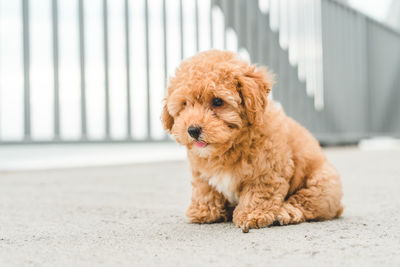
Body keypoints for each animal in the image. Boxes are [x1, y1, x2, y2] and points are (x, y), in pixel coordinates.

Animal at [161, 51, 342, 233]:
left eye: (218, 101)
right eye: (185, 104)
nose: (193, 130)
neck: (228, 147)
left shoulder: (266, 171)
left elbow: (257, 194)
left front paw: (252, 215)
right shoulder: (201, 172)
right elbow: (205, 189)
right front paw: (204, 211)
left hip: (322, 183)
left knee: (304, 203)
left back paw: (285, 213)